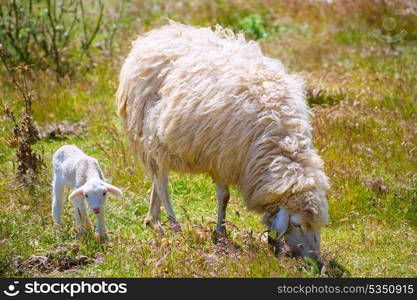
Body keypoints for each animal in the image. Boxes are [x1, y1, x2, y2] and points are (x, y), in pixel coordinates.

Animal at [116, 21, 328, 262]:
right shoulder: (222, 156)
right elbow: (224, 196)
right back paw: (174, 224)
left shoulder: (226, 159)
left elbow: (224, 198)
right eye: (298, 224)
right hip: (151, 135)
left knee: (156, 179)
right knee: (162, 183)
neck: (281, 142)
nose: (316, 262)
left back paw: (153, 219)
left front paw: (222, 231)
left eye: (319, 227)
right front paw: (221, 232)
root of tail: (156, 34)